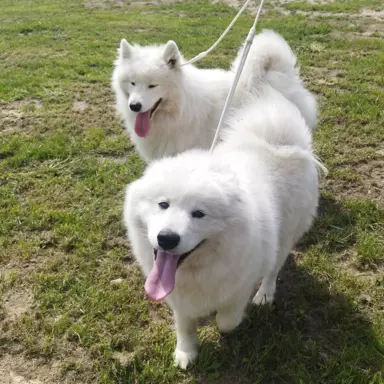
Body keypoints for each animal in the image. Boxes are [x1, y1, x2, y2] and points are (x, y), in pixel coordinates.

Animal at [123, 88, 324, 368]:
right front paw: (186, 352)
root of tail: (277, 141)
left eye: (199, 214)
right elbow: (184, 325)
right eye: (163, 204)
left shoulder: (239, 286)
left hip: (286, 235)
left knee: (273, 268)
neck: (195, 269)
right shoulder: (179, 299)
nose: (167, 239)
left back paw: (264, 294)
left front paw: (227, 323)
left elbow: (226, 320)